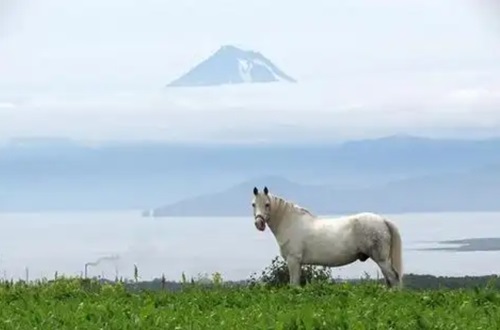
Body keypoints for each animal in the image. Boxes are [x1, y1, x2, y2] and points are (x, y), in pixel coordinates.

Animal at [250, 187, 402, 288]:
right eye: (253, 204)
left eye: (267, 204)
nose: (259, 224)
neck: (290, 222)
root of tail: (382, 220)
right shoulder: (298, 263)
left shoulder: (293, 260)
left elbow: (294, 284)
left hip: (381, 259)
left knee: (393, 278)